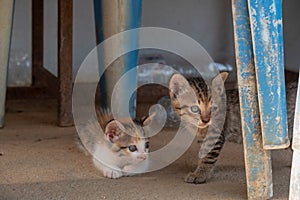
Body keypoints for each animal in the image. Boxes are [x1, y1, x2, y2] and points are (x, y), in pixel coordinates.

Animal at [169, 72, 298, 184]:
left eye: (213, 108)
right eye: (195, 109)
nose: (206, 120)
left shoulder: (215, 136)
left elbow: (208, 156)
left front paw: (200, 174)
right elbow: (202, 155)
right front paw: (204, 171)